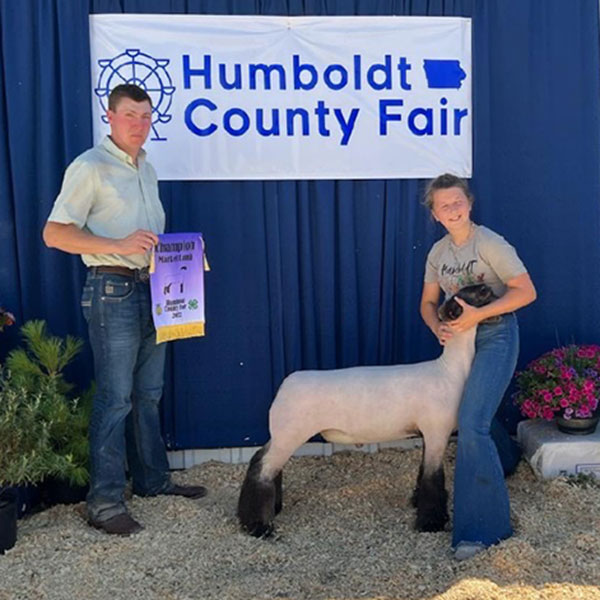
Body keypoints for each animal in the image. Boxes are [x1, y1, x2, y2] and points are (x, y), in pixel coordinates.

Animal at [237, 284, 494, 536]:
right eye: (467, 293)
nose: (488, 288)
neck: (450, 371)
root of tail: (286, 384)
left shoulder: (427, 434)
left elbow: (423, 473)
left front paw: (416, 502)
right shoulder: (437, 431)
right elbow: (433, 478)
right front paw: (431, 523)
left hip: (281, 433)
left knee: (262, 462)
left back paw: (272, 508)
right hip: (290, 433)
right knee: (263, 470)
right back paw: (258, 525)